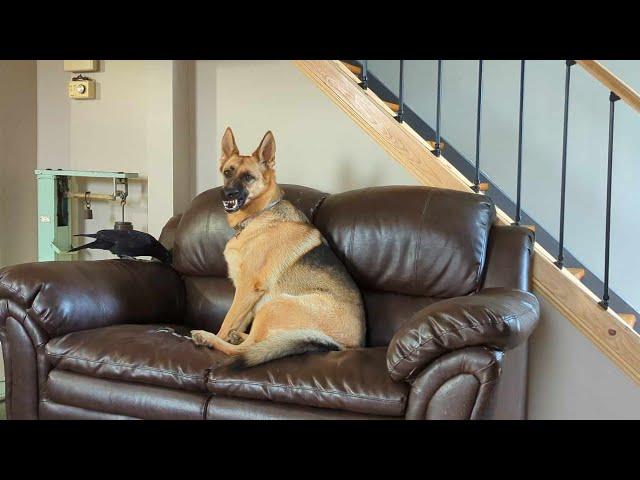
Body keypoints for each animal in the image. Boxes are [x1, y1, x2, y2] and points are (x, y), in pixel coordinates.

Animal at [190, 127, 364, 368]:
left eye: (248, 177)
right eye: (227, 172)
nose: (226, 194)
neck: (258, 216)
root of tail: (341, 346)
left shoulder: (247, 288)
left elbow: (227, 321)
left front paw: (217, 335)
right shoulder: (246, 292)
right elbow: (238, 320)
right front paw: (232, 332)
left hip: (275, 305)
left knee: (247, 349)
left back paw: (207, 338)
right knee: (255, 341)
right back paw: (236, 336)